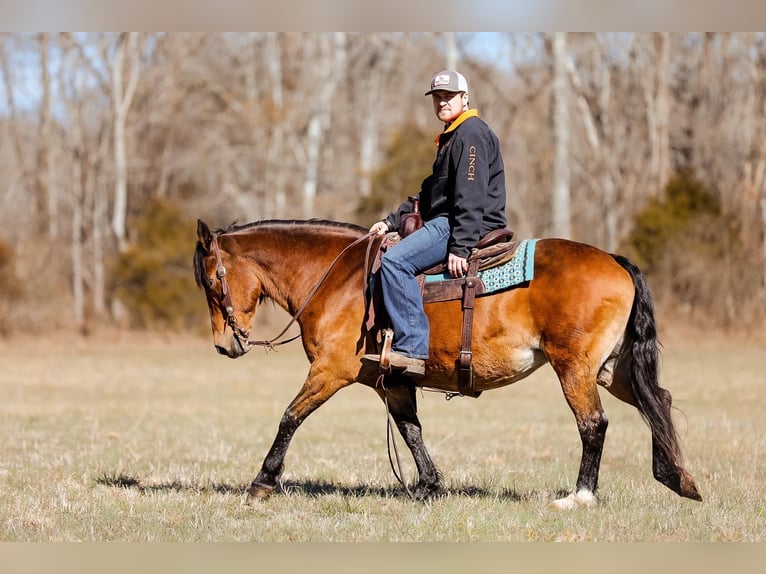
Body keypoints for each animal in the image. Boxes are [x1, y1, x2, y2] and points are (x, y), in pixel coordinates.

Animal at [192, 217, 704, 508]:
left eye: (212, 282)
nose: (224, 345)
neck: (339, 279)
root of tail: (615, 261)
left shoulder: (330, 372)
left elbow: (290, 417)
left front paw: (262, 481)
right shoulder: (392, 381)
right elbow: (411, 431)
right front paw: (429, 486)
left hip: (575, 368)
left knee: (594, 424)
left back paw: (581, 496)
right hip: (613, 370)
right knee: (657, 402)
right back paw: (679, 479)